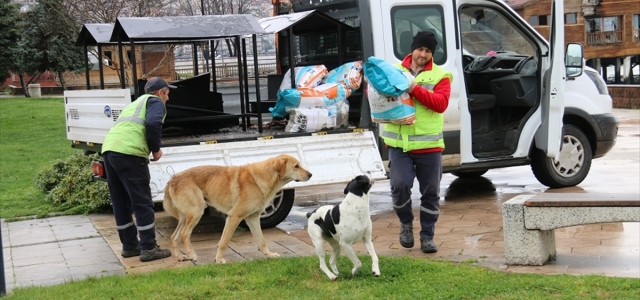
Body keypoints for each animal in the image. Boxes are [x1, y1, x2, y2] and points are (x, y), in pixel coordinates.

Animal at [162, 155, 312, 262]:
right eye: (296, 166)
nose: (310, 175)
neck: (263, 177)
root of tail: (173, 179)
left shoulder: (253, 218)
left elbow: (261, 241)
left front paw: (269, 255)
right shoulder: (234, 217)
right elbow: (224, 241)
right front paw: (218, 259)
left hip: (185, 217)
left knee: (174, 236)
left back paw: (179, 257)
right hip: (196, 213)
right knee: (184, 234)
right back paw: (192, 255)